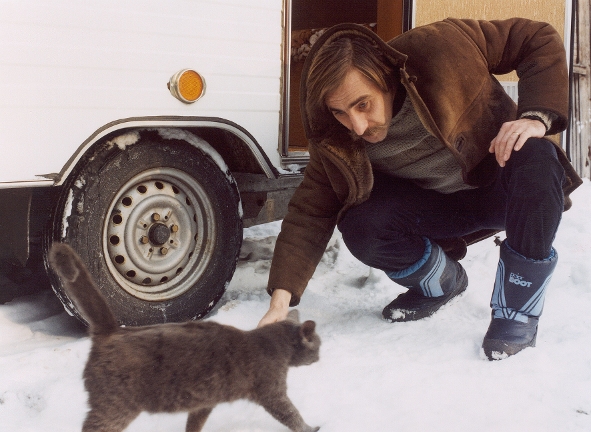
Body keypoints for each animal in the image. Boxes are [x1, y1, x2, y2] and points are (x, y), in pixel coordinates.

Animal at [49, 243, 321, 432]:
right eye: (318, 345)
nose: (319, 357)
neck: (275, 342)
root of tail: (111, 330)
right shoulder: (272, 392)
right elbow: (291, 414)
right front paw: (311, 427)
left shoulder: (204, 403)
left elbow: (194, 423)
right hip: (115, 406)